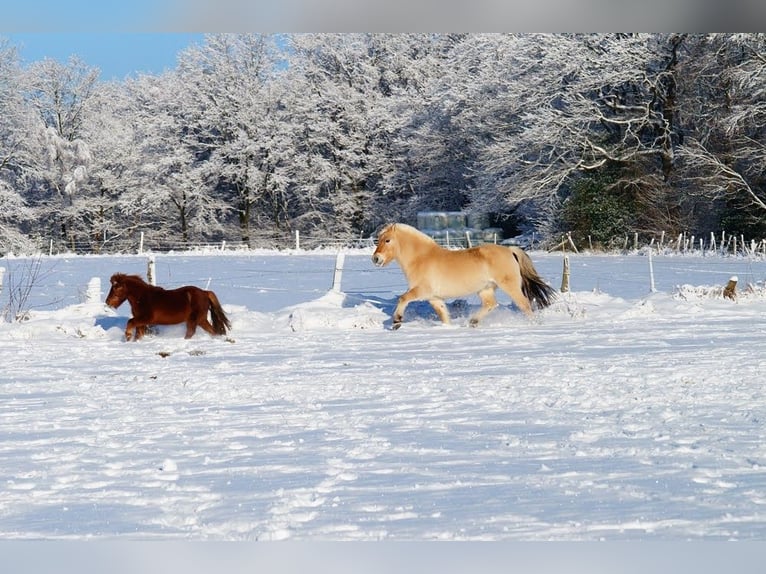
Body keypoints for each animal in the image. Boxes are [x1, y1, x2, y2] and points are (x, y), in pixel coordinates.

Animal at [372, 223, 556, 329]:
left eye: (387, 240)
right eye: (378, 240)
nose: (376, 259)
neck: (421, 258)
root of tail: (510, 250)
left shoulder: (422, 291)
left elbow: (403, 298)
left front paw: (397, 321)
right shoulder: (434, 298)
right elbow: (444, 315)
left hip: (510, 286)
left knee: (524, 305)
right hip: (485, 289)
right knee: (491, 304)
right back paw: (473, 322)